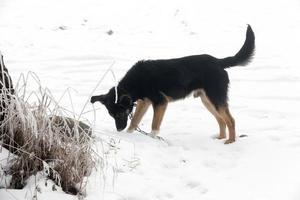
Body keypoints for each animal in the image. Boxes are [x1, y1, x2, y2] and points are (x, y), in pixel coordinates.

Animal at [90, 25, 254, 144]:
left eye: (119, 114)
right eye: (111, 115)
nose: (118, 130)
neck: (136, 82)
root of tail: (218, 62)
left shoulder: (160, 102)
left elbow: (154, 126)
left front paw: (152, 138)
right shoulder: (145, 103)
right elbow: (134, 122)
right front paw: (129, 135)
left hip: (215, 98)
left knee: (230, 120)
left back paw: (230, 141)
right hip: (207, 100)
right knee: (221, 120)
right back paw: (220, 138)